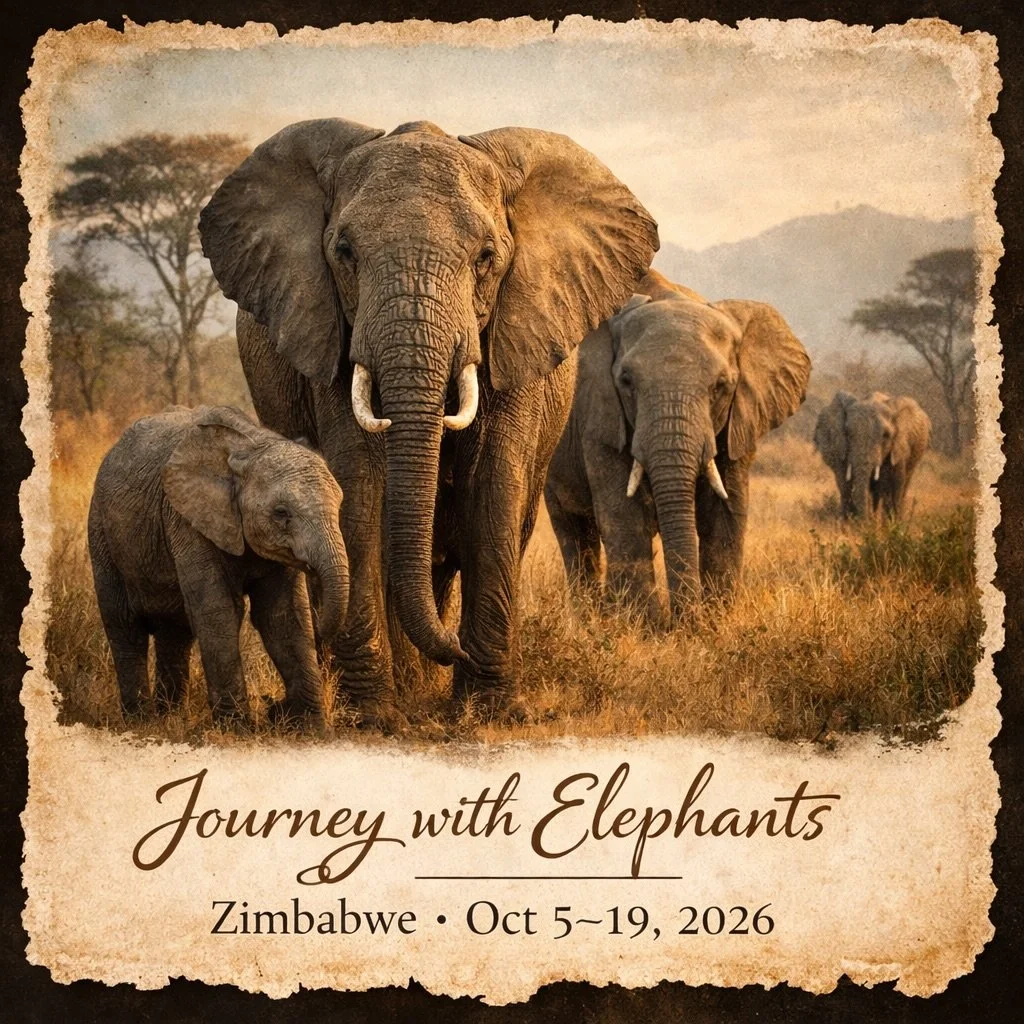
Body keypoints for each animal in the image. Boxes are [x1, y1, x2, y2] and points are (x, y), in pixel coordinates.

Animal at [88, 405, 349, 725]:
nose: (275, 705)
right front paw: (237, 728)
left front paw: (311, 727)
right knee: (125, 627)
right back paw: (141, 721)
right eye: (281, 513)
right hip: (101, 533)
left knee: (174, 632)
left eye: (339, 506)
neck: (250, 444)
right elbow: (218, 610)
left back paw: (170, 717)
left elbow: (283, 616)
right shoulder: (186, 520)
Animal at [198, 118, 659, 727]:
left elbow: (493, 488)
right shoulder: (332, 337)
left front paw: (488, 709)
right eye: (344, 252)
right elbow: (359, 486)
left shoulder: (515, 333)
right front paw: (370, 716)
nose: (453, 649)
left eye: (487, 257)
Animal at [544, 270, 811, 619]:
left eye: (722, 386)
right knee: (574, 531)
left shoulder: (739, 421)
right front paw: (642, 623)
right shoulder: (598, 415)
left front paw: (715, 619)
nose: (683, 619)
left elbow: (725, 513)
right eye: (626, 381)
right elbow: (623, 515)